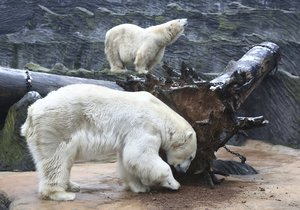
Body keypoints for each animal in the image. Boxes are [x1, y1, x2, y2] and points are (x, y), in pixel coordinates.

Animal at [21, 83, 197, 200]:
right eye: (190, 157)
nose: (184, 171)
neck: (160, 114)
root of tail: (32, 111)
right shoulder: (145, 127)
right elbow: (140, 155)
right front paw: (174, 183)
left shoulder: (129, 134)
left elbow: (127, 159)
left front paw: (139, 187)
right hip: (58, 124)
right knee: (56, 158)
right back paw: (61, 194)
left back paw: (72, 185)